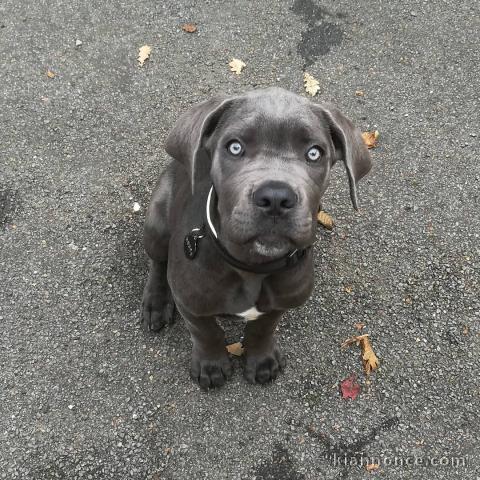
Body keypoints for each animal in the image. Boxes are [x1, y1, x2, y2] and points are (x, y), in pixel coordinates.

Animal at [142, 86, 372, 388]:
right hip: (156, 225)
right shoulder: (189, 303)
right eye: (235, 147)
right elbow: (206, 332)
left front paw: (261, 360)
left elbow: (262, 328)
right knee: (158, 261)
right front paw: (211, 365)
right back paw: (156, 302)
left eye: (314, 153)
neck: (252, 267)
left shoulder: (280, 302)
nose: (275, 197)